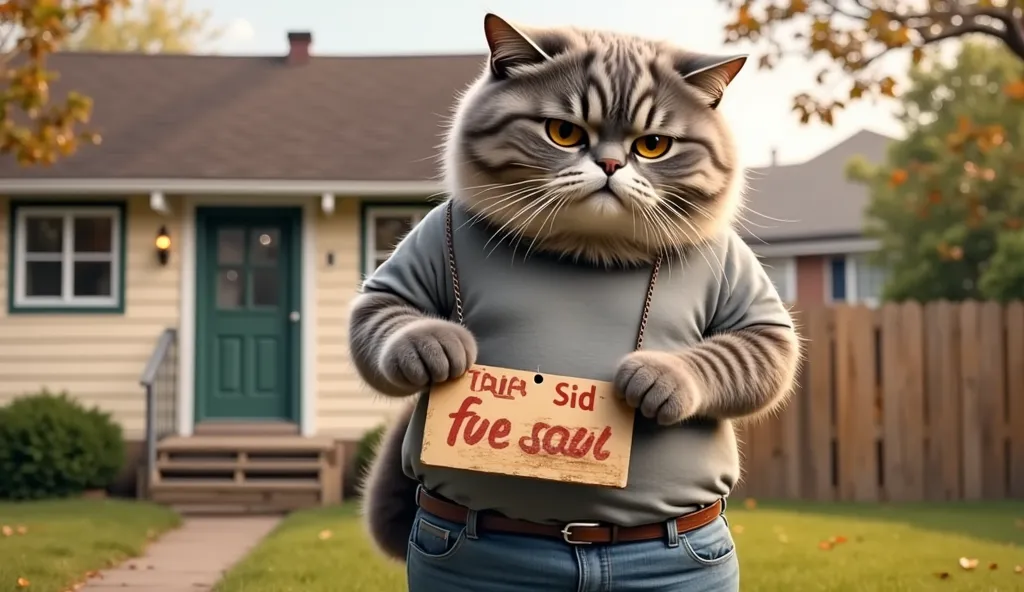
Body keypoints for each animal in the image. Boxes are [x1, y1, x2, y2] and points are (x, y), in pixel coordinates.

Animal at [350, 12, 798, 565]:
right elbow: (385, 316)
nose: (610, 165)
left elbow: (745, 353)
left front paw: (656, 377)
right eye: (564, 133)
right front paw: (438, 345)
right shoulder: (404, 272)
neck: (589, 249)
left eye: (653, 145)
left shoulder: (760, 322)